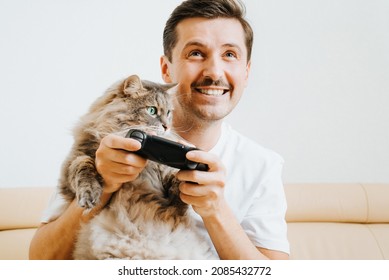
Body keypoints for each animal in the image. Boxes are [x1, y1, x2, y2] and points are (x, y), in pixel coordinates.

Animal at [57, 75, 215, 260]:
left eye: (168, 113)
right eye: (152, 110)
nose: (167, 126)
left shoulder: (171, 197)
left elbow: (177, 188)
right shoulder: (73, 163)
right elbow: (83, 165)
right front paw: (90, 194)